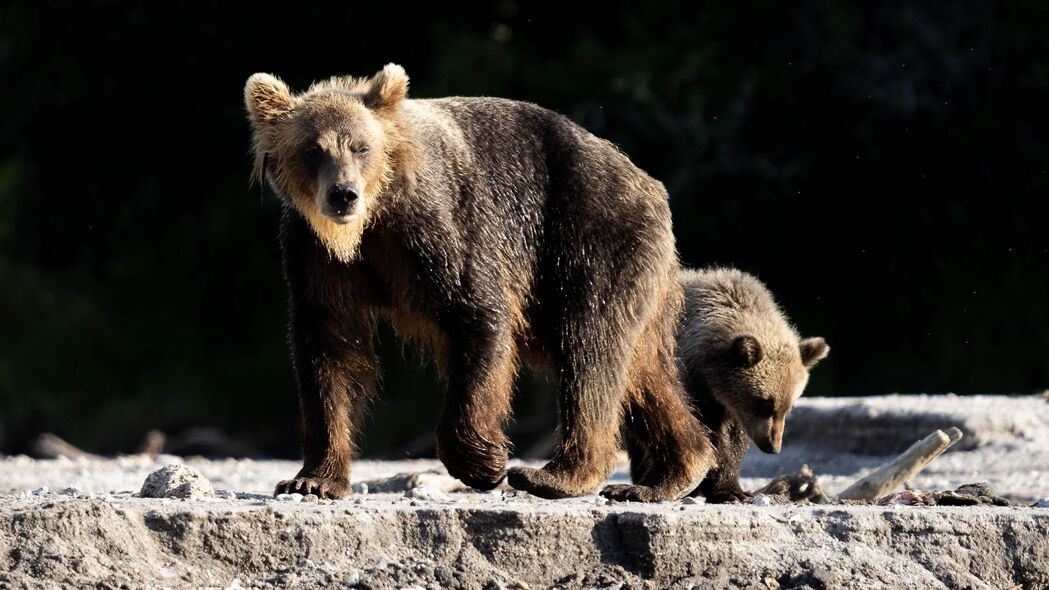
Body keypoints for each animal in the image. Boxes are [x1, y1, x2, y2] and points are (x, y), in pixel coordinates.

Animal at [243, 63, 713, 495]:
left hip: (590, 239)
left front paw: (484, 463)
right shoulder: (316, 259)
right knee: (641, 369)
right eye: (313, 149)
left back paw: (558, 474)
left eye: (361, 147)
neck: (370, 225)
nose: (343, 194)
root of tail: (648, 181)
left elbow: (477, 315)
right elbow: (329, 350)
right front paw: (312, 479)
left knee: (589, 347)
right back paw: (673, 471)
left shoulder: (439, 229)